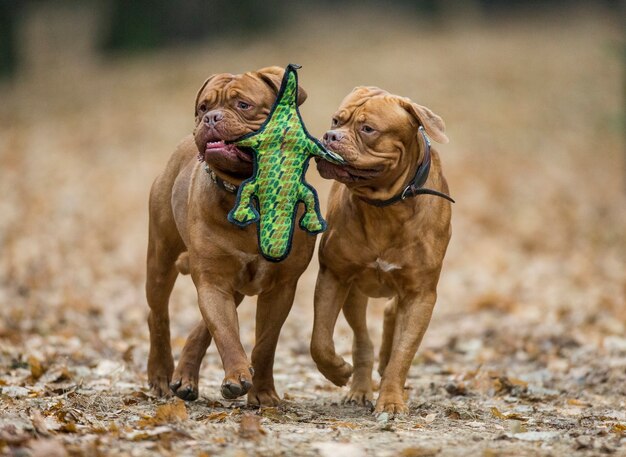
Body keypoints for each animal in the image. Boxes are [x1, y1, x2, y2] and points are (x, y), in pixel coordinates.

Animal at [145, 65, 312, 406]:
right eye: (203, 107)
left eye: (243, 105)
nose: (210, 119)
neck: (246, 190)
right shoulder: (213, 281)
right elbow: (225, 332)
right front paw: (237, 375)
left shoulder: (281, 287)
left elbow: (265, 343)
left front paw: (263, 392)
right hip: (160, 260)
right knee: (158, 317)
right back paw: (161, 374)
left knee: (200, 328)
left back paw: (185, 376)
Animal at [310, 85, 450, 414]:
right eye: (336, 120)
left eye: (367, 129)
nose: (330, 136)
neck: (386, 207)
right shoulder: (334, 275)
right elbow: (320, 340)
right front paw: (337, 371)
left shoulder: (421, 294)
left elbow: (404, 353)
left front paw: (390, 400)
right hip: (355, 291)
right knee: (363, 340)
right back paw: (359, 387)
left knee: (391, 319)